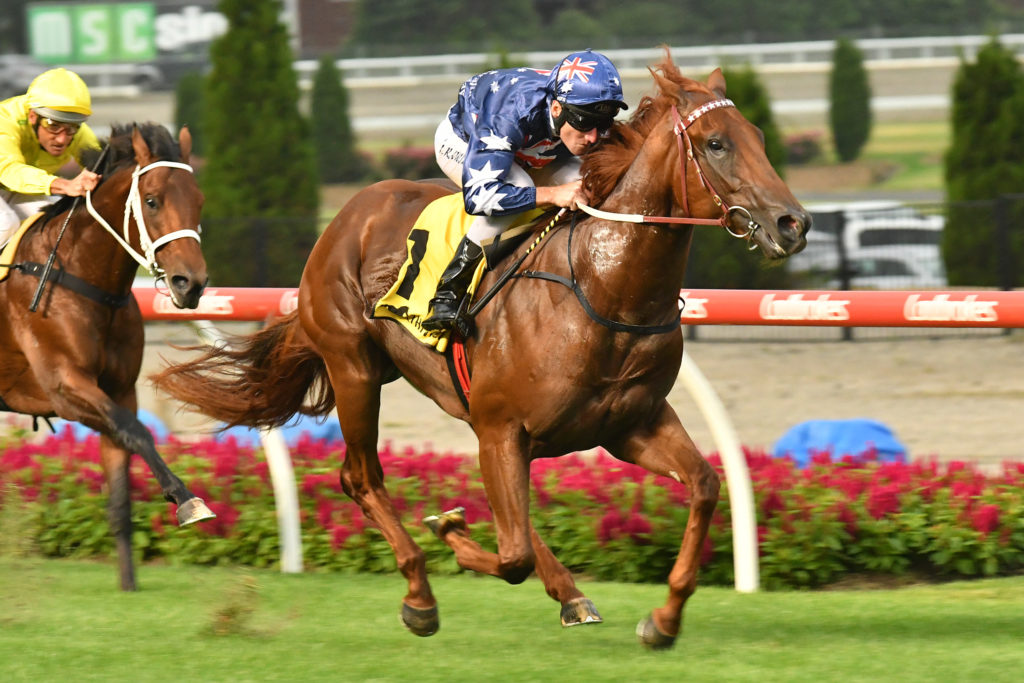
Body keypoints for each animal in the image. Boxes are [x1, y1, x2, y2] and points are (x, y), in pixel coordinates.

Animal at [0, 122, 214, 591]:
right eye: (152, 200)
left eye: (199, 199)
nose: (190, 283)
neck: (84, 279)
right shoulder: (65, 386)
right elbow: (139, 433)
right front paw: (188, 500)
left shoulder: (117, 391)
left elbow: (121, 482)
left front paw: (128, 585)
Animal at [152, 53, 809, 648]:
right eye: (716, 143)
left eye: (758, 138)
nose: (793, 223)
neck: (604, 290)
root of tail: (348, 214)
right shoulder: (505, 427)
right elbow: (510, 554)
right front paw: (450, 536)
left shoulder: (629, 424)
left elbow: (703, 485)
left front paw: (664, 620)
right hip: (354, 368)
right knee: (361, 477)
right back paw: (421, 593)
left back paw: (567, 593)